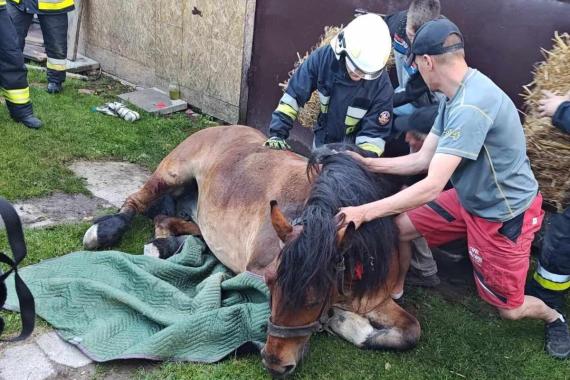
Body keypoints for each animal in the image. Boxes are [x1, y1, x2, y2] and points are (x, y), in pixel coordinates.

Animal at [82, 125, 418, 378]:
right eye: (269, 285)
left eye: (315, 297)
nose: (275, 364)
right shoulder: (254, 270)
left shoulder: (374, 299)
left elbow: (411, 331)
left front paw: (346, 323)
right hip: (172, 173)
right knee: (137, 201)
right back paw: (106, 232)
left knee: (170, 223)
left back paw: (165, 247)